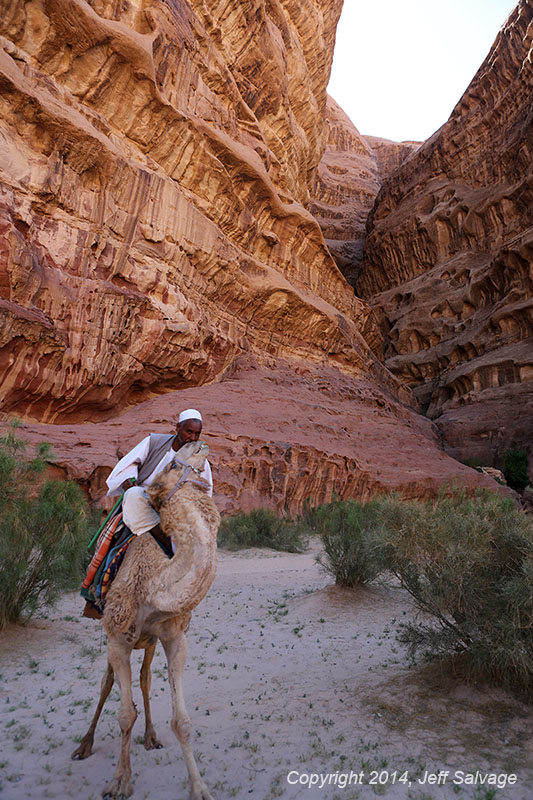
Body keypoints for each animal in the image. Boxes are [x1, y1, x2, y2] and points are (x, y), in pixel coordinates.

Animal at [71, 440, 219, 796]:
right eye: (172, 466)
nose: (198, 442)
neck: (155, 583)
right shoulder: (118, 636)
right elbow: (124, 715)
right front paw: (119, 781)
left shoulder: (175, 636)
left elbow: (182, 721)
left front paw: (199, 788)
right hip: (112, 632)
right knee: (107, 683)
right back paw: (84, 745)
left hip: (148, 641)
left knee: (145, 678)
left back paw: (151, 737)